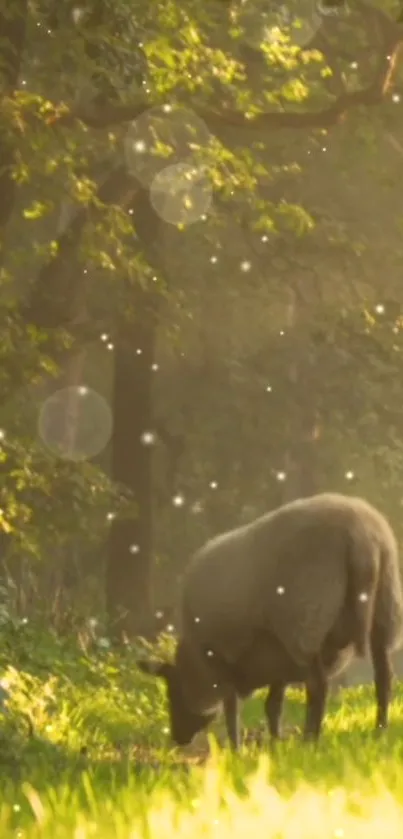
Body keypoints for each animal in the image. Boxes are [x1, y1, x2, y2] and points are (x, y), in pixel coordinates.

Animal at [139, 492, 403, 748]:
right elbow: (272, 705)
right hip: (385, 608)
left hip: (305, 622)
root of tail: (362, 536)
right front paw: (275, 743)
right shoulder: (279, 659)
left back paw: (310, 740)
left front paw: (236, 749)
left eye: (172, 691)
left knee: (319, 688)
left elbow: (232, 707)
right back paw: (379, 730)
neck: (195, 660)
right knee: (383, 678)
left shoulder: (223, 657)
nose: (178, 738)